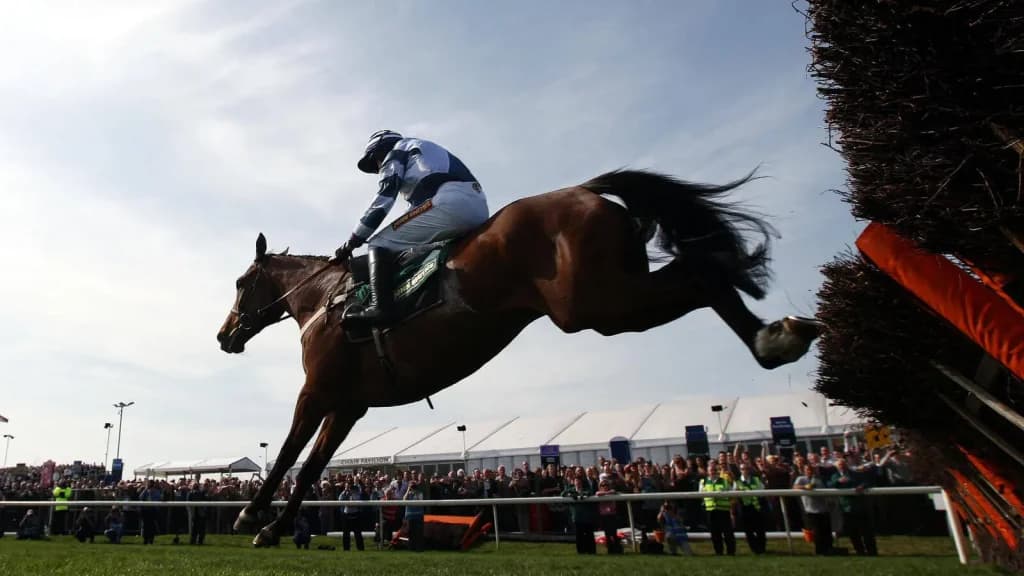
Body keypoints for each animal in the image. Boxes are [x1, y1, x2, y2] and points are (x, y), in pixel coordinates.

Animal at [216, 169, 822, 546]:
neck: (324, 300)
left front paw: (250, 515)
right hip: (616, 291)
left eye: (242, 282)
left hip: (598, 303)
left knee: (701, 274)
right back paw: (777, 336)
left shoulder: (318, 391)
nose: (225, 335)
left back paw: (773, 338)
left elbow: (289, 452)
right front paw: (273, 527)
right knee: (700, 269)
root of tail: (584, 190)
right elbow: (312, 465)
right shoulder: (348, 405)